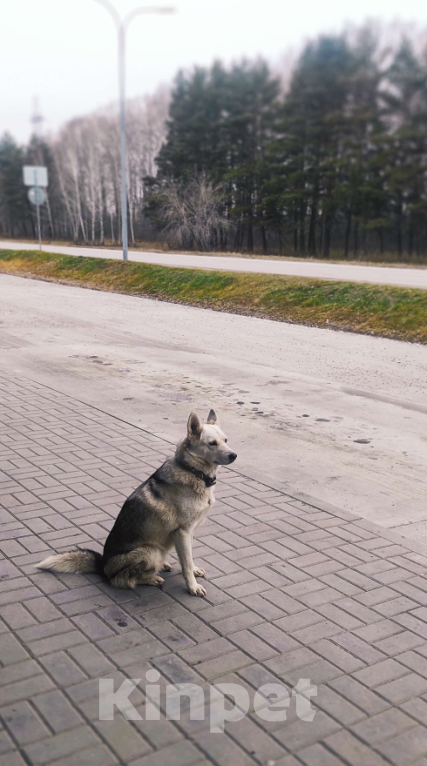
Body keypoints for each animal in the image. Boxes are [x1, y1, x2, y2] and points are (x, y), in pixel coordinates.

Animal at [36, 414, 237, 600]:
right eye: (212, 443)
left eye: (226, 440)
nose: (234, 455)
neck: (192, 471)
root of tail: (103, 565)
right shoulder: (182, 532)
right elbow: (186, 564)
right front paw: (192, 586)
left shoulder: (189, 532)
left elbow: (189, 558)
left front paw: (194, 570)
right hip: (150, 552)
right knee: (122, 580)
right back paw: (151, 578)